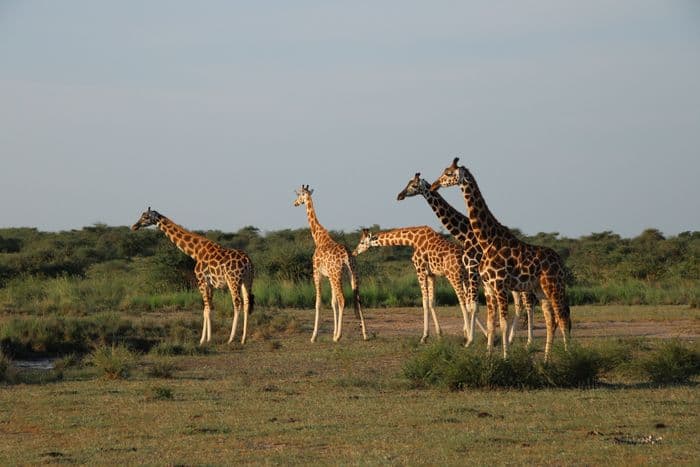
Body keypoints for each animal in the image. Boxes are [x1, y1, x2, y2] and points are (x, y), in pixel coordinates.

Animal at [131, 208, 254, 345]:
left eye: (146, 217)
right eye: (142, 215)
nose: (134, 226)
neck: (196, 252)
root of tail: (248, 261)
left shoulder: (201, 280)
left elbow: (206, 309)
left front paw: (204, 339)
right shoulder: (210, 284)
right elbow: (207, 308)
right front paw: (206, 338)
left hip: (233, 280)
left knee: (237, 303)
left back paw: (231, 338)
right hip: (247, 281)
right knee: (247, 303)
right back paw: (243, 339)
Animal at [293, 185, 368, 343]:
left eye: (300, 195)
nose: (295, 203)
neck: (319, 238)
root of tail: (347, 256)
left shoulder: (317, 273)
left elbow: (318, 303)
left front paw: (314, 336)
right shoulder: (329, 277)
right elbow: (333, 303)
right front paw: (333, 333)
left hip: (336, 275)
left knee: (343, 300)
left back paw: (338, 336)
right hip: (352, 275)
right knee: (357, 299)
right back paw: (365, 334)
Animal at [397, 172, 537, 345]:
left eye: (413, 185)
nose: (400, 195)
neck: (465, 232)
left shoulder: (473, 271)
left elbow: (473, 305)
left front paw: (473, 337)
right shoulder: (474, 274)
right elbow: (474, 305)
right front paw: (482, 335)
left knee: (528, 303)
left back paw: (528, 340)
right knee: (520, 303)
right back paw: (511, 338)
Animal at [430, 158, 571, 360]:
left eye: (448, 173)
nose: (434, 185)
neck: (487, 241)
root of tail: (561, 262)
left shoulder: (500, 285)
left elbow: (503, 323)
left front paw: (505, 357)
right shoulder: (489, 287)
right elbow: (491, 323)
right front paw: (489, 356)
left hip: (554, 287)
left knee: (563, 318)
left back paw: (569, 356)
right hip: (540, 290)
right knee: (551, 320)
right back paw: (546, 360)